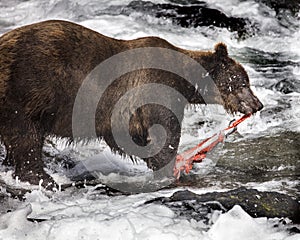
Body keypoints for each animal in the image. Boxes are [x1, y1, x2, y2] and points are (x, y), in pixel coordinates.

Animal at [0, 20, 262, 188]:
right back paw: (41, 177)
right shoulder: (156, 87)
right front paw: (170, 169)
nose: (257, 104)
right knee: (26, 138)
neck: (184, 80)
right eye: (243, 82)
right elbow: (165, 131)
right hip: (27, 88)